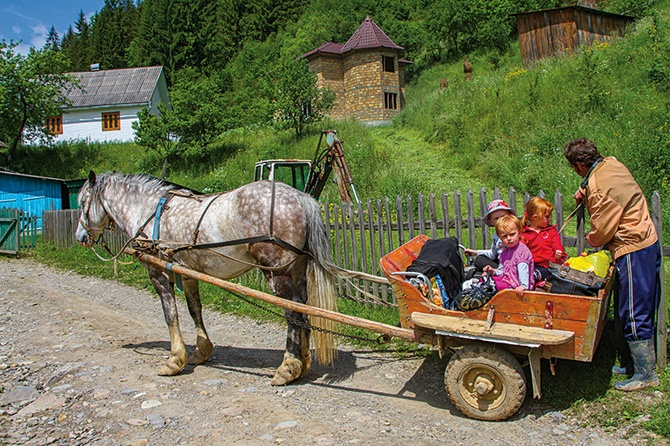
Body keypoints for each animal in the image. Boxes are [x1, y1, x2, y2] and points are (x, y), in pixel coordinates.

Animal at [76, 172, 338, 386]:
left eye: (82, 203)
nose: (80, 237)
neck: (149, 212)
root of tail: (301, 197)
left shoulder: (159, 271)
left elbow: (170, 313)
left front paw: (174, 359)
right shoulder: (186, 271)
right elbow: (195, 310)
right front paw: (201, 351)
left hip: (277, 271)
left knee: (292, 313)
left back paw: (288, 367)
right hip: (297, 268)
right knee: (303, 308)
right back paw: (303, 362)